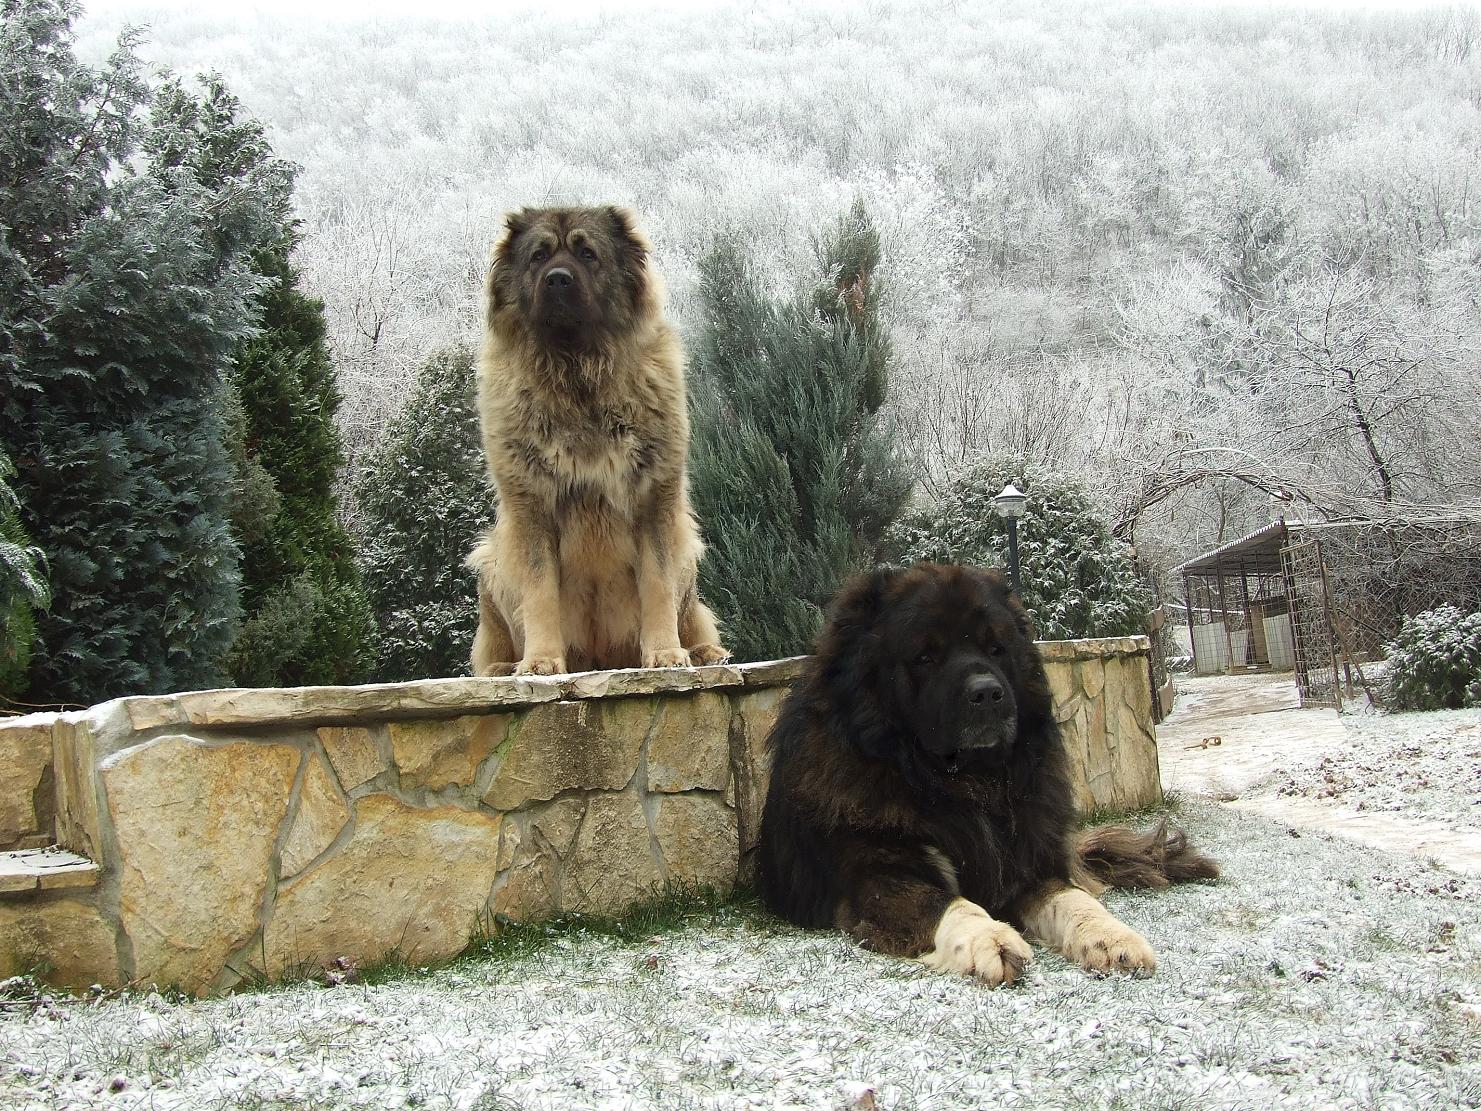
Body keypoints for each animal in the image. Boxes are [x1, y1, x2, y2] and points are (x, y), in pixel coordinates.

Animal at [758, 559, 1220, 989]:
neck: (961, 785)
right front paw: (991, 940)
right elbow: (944, 902)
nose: (986, 693)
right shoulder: (876, 875)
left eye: (996, 648)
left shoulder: (1027, 862)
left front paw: (1111, 937)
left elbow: (1072, 898)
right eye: (925, 656)